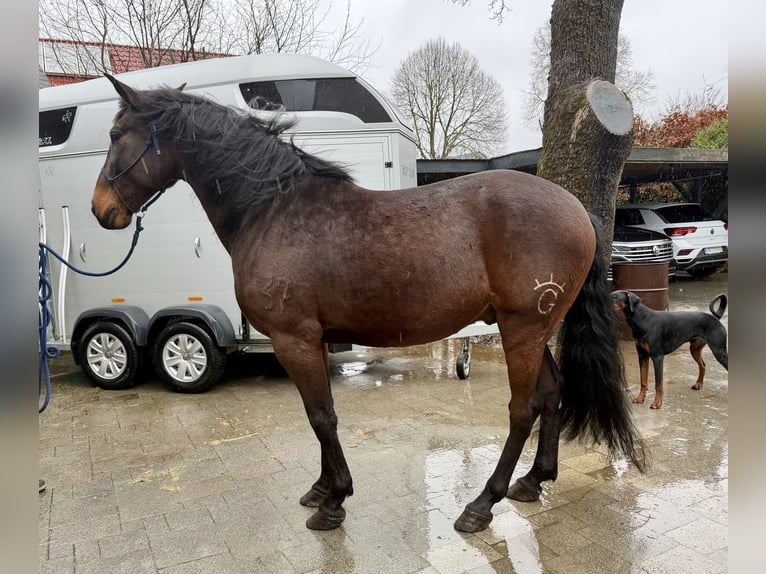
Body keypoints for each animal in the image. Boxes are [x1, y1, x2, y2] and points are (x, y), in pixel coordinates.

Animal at [91, 74, 646, 533]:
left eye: (117, 135)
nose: (102, 209)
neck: (273, 209)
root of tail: (575, 209)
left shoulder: (294, 338)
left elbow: (321, 416)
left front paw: (334, 502)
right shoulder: (312, 339)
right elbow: (323, 413)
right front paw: (321, 490)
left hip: (522, 329)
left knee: (521, 409)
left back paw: (481, 505)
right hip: (532, 328)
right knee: (551, 393)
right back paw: (532, 481)